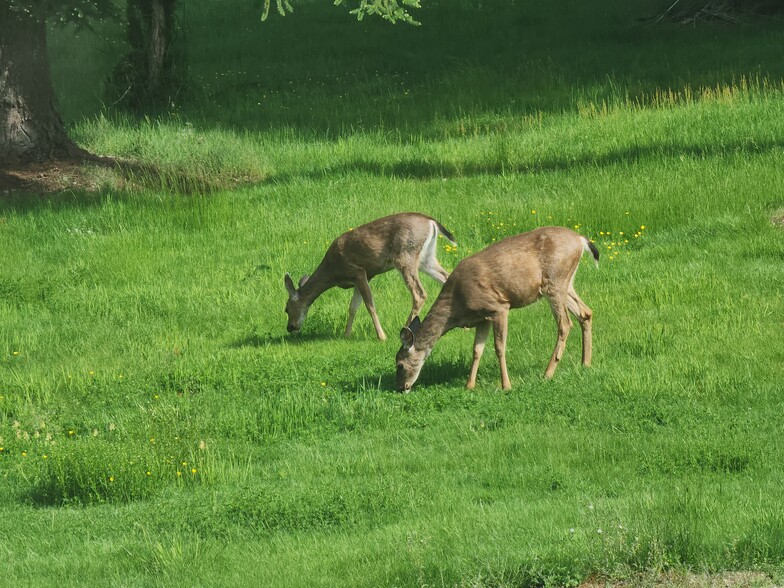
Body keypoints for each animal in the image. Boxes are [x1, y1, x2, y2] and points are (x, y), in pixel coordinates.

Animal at [284, 211, 456, 340]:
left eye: (286, 309)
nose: (290, 327)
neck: (332, 272)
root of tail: (431, 222)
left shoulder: (358, 272)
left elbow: (369, 305)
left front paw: (381, 336)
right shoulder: (361, 278)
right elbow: (352, 307)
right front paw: (346, 335)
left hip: (405, 255)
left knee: (419, 293)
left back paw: (405, 329)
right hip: (426, 259)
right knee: (446, 276)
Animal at [398, 227, 600, 392]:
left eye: (399, 364)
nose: (401, 387)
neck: (456, 306)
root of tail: (581, 240)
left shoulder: (499, 307)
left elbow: (499, 347)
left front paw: (506, 385)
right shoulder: (482, 318)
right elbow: (476, 350)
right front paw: (469, 385)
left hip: (554, 282)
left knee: (565, 324)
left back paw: (548, 373)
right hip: (565, 283)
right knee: (585, 313)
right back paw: (586, 363)